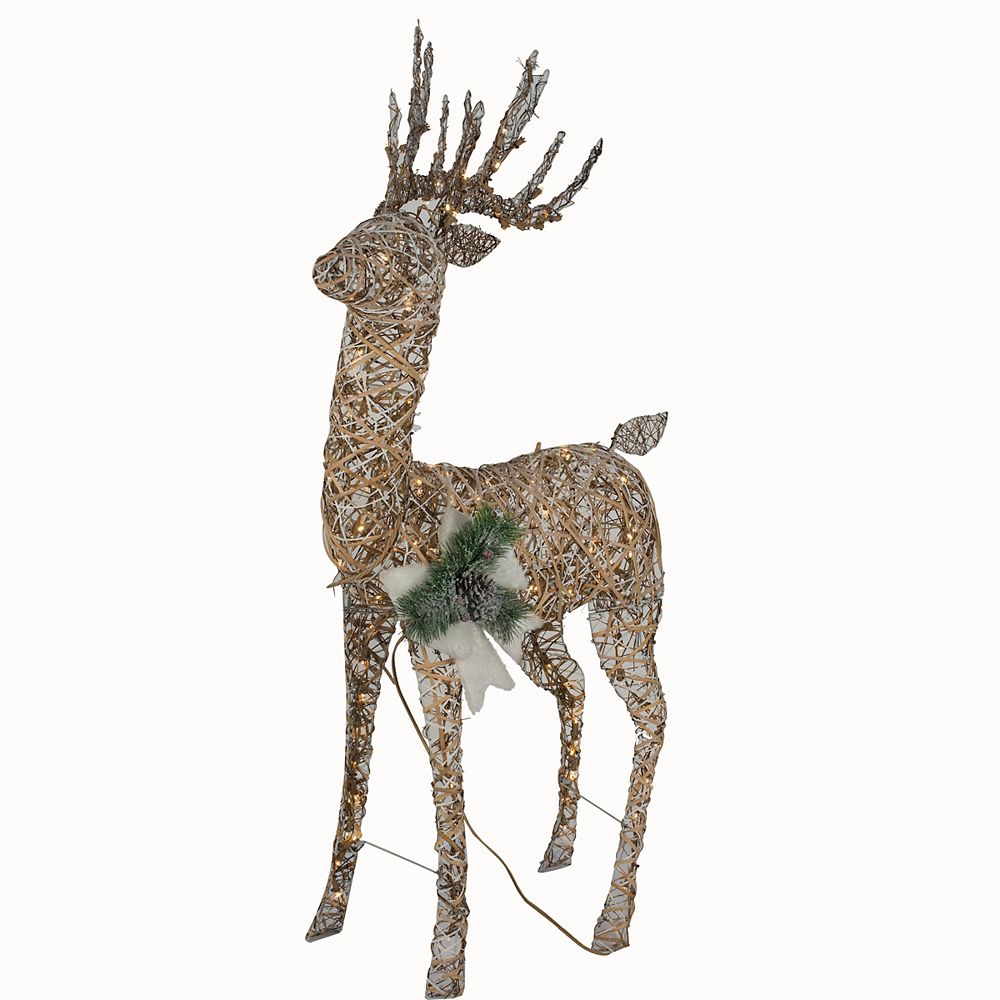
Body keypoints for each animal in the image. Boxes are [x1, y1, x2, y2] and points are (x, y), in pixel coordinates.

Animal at [305, 25, 668, 999]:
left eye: (418, 243)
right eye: (366, 214)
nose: (327, 265)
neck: (388, 502)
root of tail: (622, 452)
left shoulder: (435, 637)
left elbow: (446, 785)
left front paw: (445, 963)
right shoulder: (360, 616)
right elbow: (354, 761)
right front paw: (323, 921)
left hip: (632, 606)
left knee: (654, 714)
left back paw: (611, 922)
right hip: (543, 621)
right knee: (574, 686)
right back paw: (555, 853)